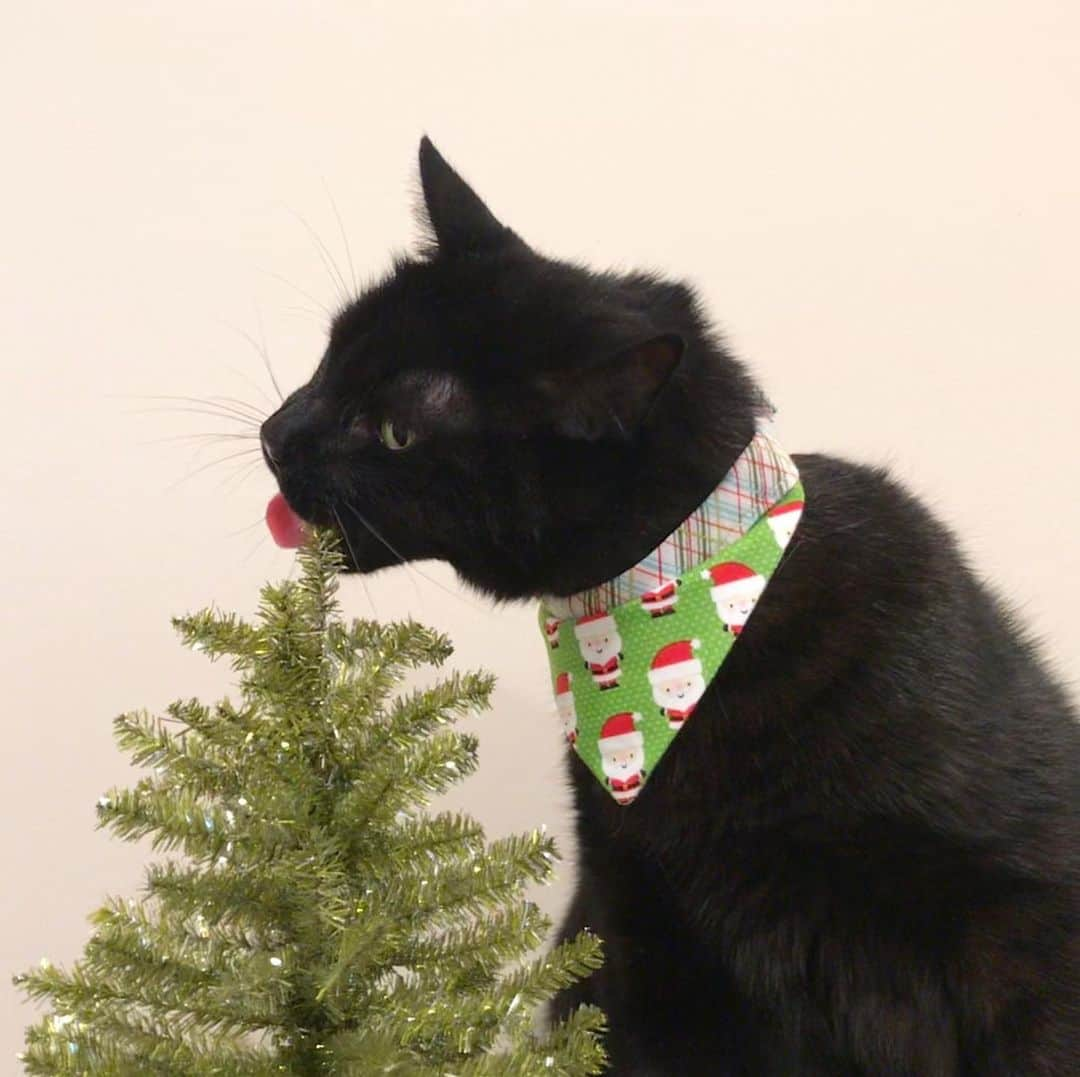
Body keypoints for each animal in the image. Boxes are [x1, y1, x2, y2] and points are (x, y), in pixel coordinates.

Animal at [257, 138, 1075, 1071]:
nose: (275, 433)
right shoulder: (644, 921)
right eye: (329, 360)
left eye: (396, 433)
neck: (684, 595)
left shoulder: (1023, 921)